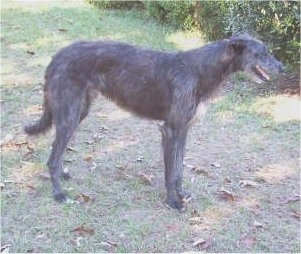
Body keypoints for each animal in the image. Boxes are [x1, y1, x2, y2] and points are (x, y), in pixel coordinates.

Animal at [24, 34, 282, 212]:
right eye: (261, 53)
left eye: (268, 52)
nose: (283, 67)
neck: (200, 69)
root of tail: (58, 55)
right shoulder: (170, 130)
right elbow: (170, 171)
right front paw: (172, 202)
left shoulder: (183, 129)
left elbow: (178, 168)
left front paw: (181, 193)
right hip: (69, 114)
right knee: (52, 157)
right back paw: (58, 193)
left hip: (79, 111)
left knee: (58, 150)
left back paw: (63, 173)